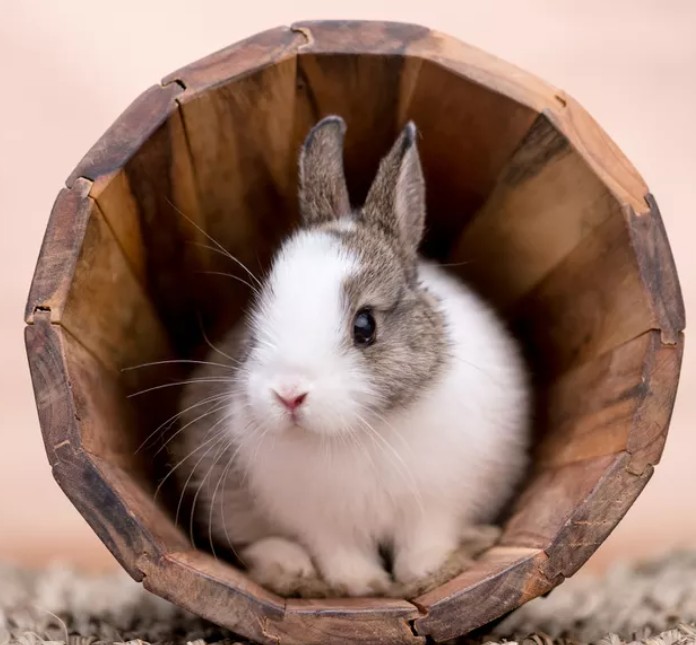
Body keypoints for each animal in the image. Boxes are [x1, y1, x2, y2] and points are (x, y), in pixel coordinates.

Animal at [170, 115, 530, 598]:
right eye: (256, 316)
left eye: (365, 326)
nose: (289, 394)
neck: (356, 431)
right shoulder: (321, 524)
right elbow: (340, 553)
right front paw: (363, 587)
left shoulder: (436, 505)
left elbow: (425, 542)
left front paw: (423, 576)